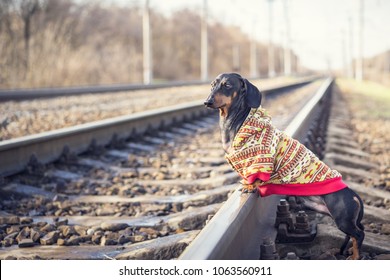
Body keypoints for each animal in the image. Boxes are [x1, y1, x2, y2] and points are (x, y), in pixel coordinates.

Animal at [204, 72, 366, 260]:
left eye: (228, 85)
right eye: (213, 85)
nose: (207, 101)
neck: (235, 121)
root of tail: (353, 195)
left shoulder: (260, 160)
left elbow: (255, 176)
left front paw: (250, 186)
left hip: (343, 220)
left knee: (359, 234)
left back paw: (355, 256)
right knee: (357, 233)